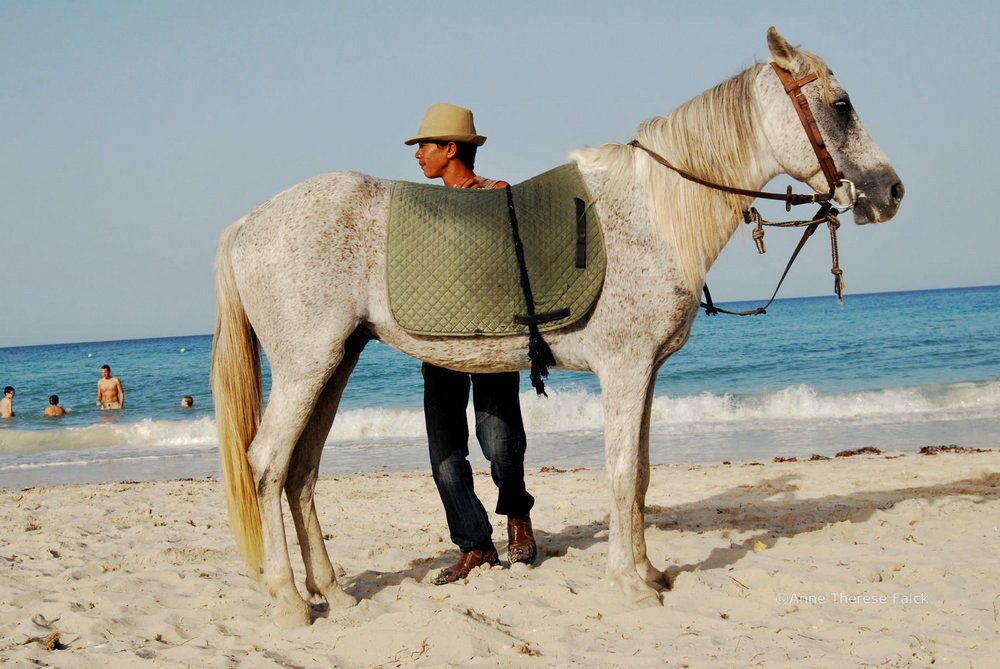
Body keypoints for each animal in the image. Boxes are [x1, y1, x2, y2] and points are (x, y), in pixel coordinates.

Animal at [211, 27, 908, 628]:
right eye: (841, 105)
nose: (891, 192)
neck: (650, 212)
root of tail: (248, 222)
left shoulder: (644, 375)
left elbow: (642, 475)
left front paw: (650, 573)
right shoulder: (624, 372)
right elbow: (622, 475)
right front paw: (628, 585)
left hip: (336, 361)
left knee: (301, 472)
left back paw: (333, 593)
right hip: (307, 365)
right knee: (268, 463)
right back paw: (289, 601)